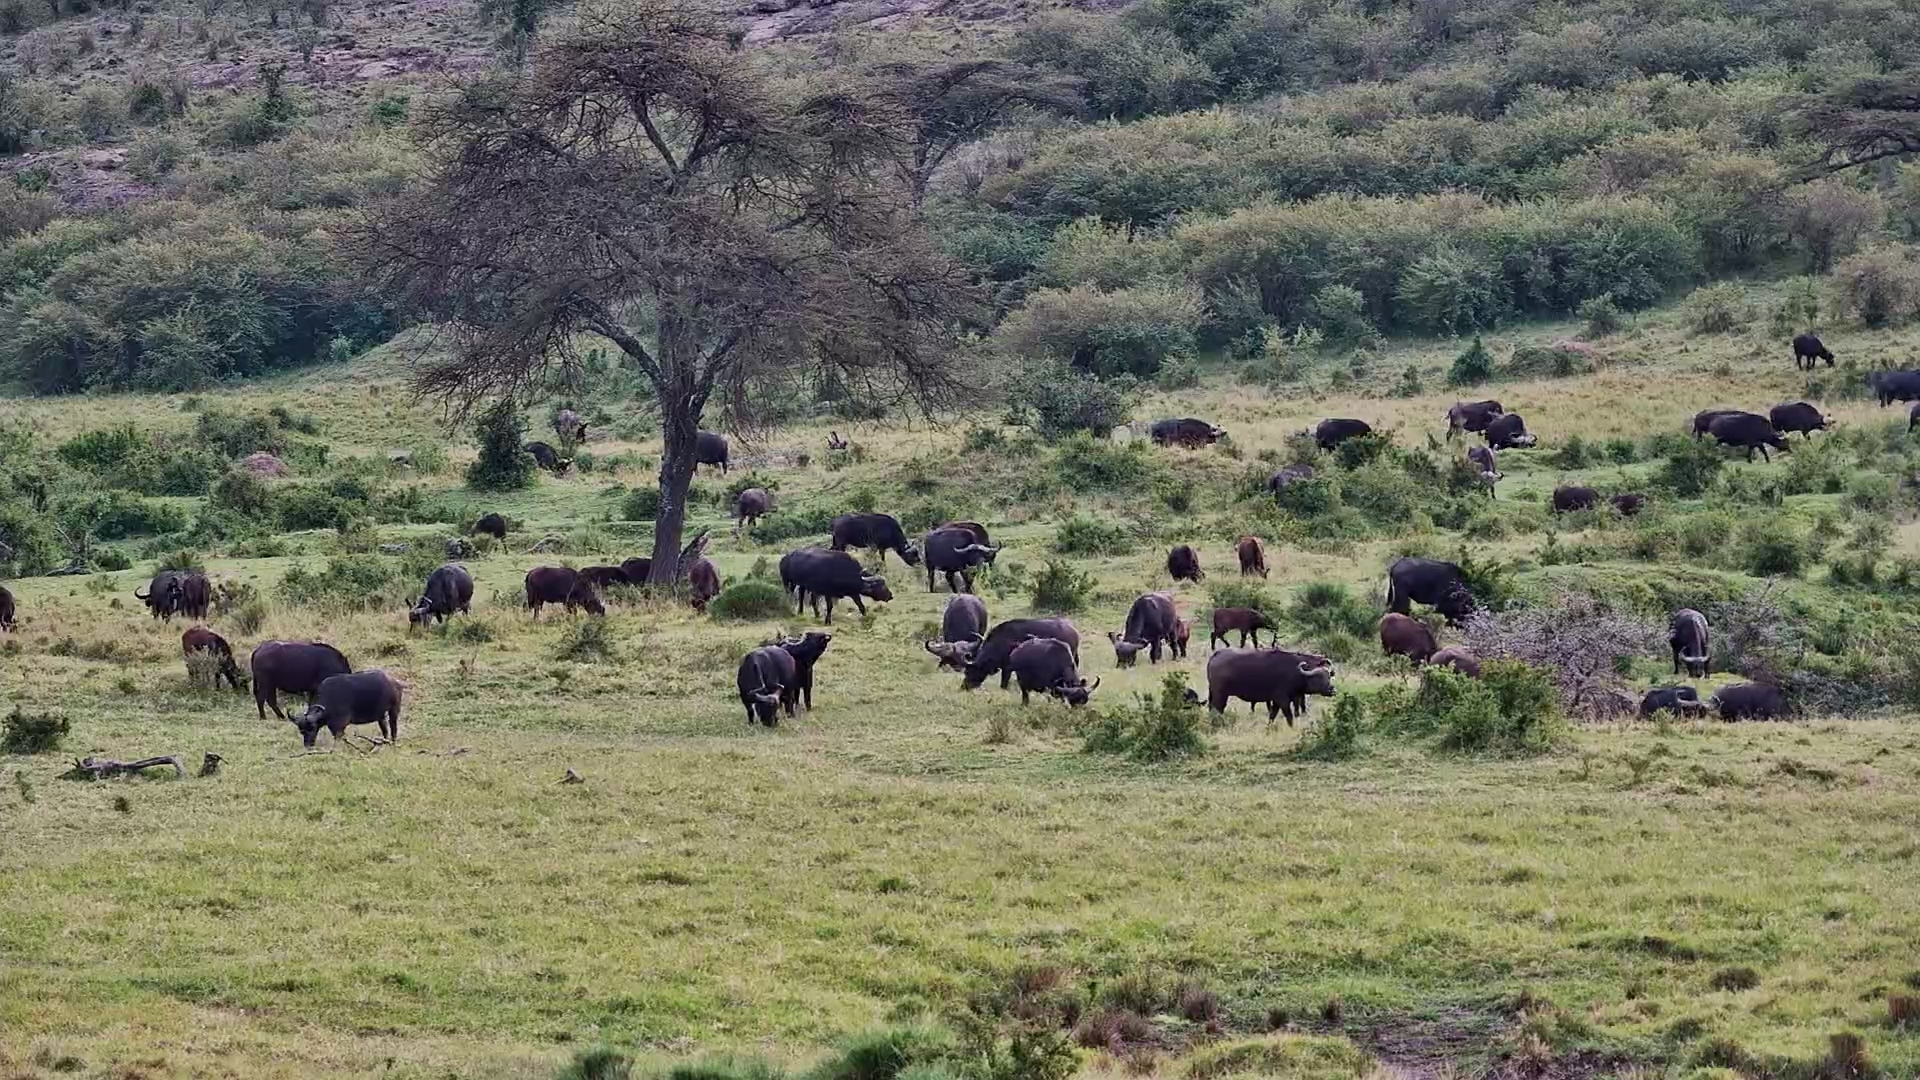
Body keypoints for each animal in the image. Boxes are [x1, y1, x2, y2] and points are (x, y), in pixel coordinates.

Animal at [1204, 647, 1335, 725]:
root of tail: (1217, 654)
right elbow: (1289, 717)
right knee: (1217, 709)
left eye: (1329, 676)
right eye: (1319, 678)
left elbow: (1272, 716)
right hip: (1220, 695)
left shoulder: (1277, 701)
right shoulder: (1283, 700)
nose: (1332, 690)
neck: (1296, 672)